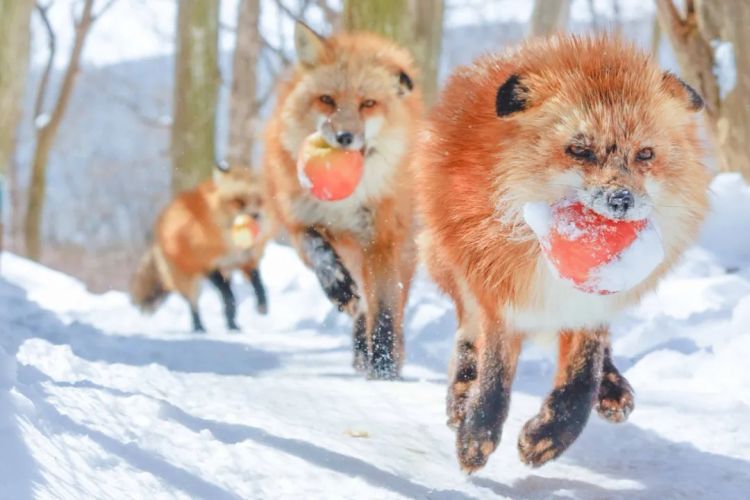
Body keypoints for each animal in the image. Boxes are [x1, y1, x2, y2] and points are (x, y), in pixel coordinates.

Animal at [131, 162, 270, 330]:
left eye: (259, 200)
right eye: (238, 202)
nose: (256, 216)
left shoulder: (245, 260)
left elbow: (258, 284)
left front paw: (262, 305)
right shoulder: (208, 266)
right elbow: (228, 296)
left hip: (224, 273)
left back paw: (232, 326)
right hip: (189, 281)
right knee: (193, 305)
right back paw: (199, 328)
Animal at [262, 20, 424, 378]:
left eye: (368, 104)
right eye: (327, 100)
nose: (344, 137)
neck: (345, 203)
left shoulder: (381, 240)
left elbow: (385, 312)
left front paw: (384, 369)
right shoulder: (300, 224)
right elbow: (320, 253)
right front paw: (338, 286)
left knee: (388, 309)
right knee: (361, 308)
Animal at [418, 37, 712, 470]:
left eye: (645, 154)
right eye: (579, 150)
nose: (620, 200)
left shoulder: (590, 305)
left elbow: (581, 378)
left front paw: (550, 435)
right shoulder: (501, 293)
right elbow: (494, 372)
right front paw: (477, 434)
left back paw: (613, 389)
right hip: (453, 265)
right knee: (466, 335)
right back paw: (460, 399)